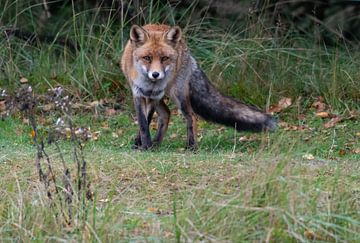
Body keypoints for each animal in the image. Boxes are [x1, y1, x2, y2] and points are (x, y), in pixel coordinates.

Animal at [121, 24, 276, 150]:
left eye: (164, 58)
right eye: (147, 58)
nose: (155, 74)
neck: (149, 85)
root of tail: (185, 47)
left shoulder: (154, 96)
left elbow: (146, 121)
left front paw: (145, 146)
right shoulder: (139, 94)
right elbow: (143, 123)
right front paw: (144, 144)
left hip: (178, 94)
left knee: (191, 116)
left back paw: (191, 146)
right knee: (166, 113)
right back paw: (155, 143)